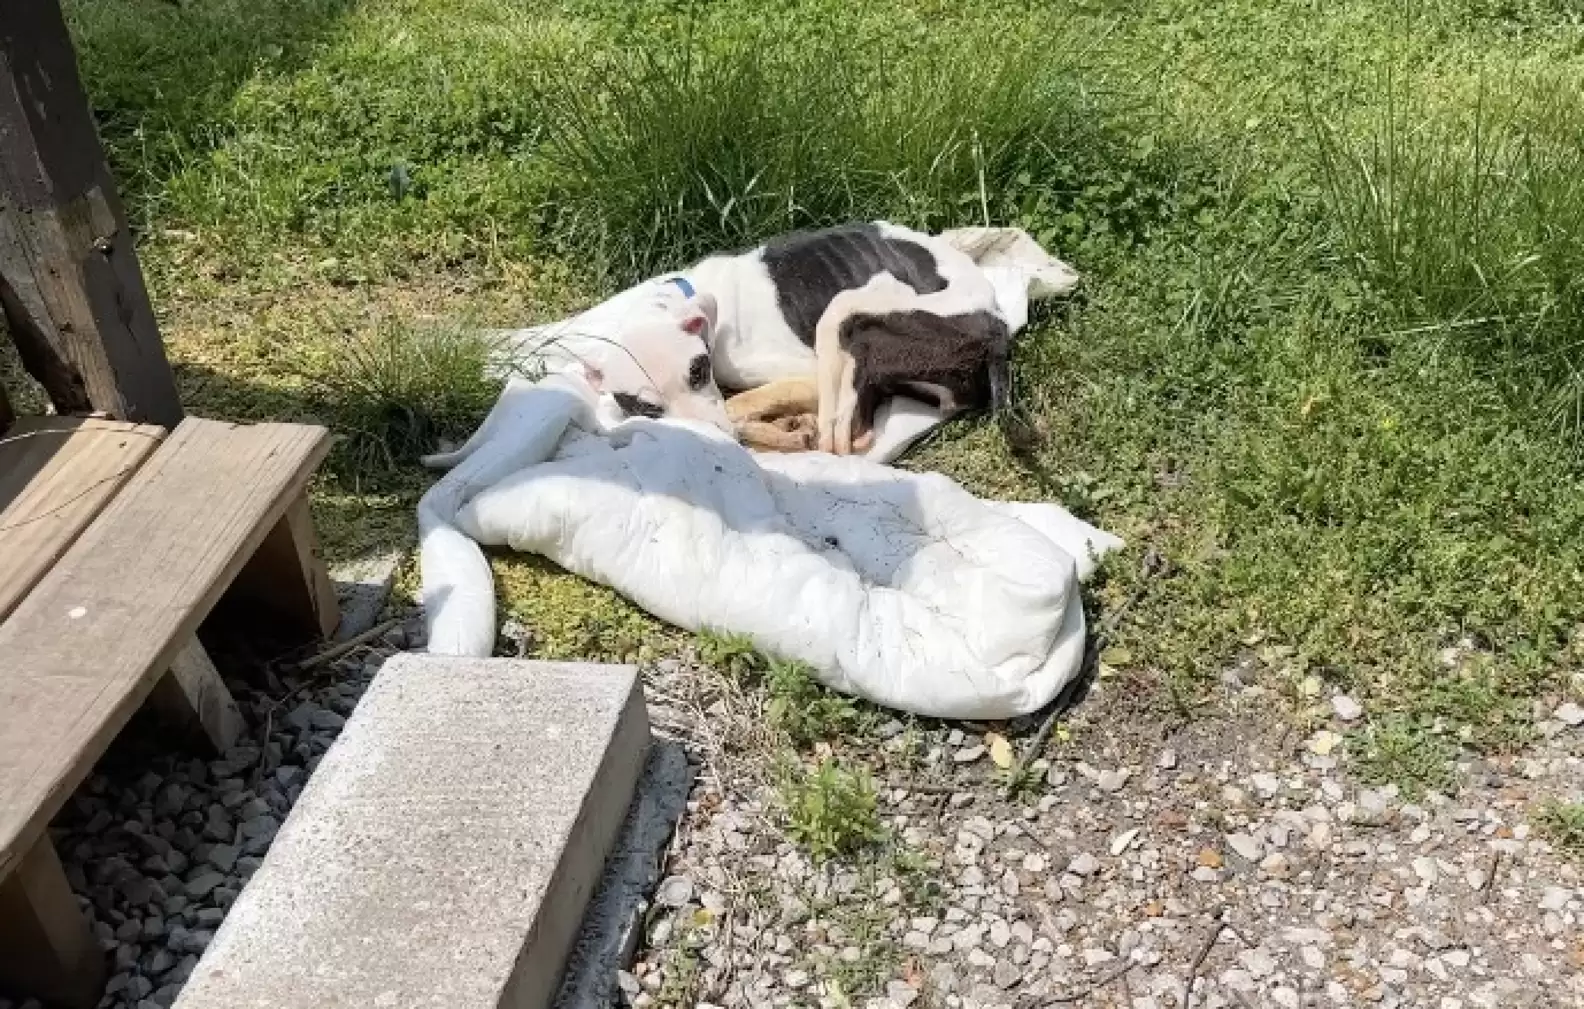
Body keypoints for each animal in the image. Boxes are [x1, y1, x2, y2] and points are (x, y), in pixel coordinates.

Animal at [497, 221, 1077, 459]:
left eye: (697, 371)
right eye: (642, 407)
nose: (717, 447)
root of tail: (997, 331)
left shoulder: (796, 375)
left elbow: (741, 407)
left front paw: (765, 429)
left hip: (849, 313)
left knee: (839, 441)